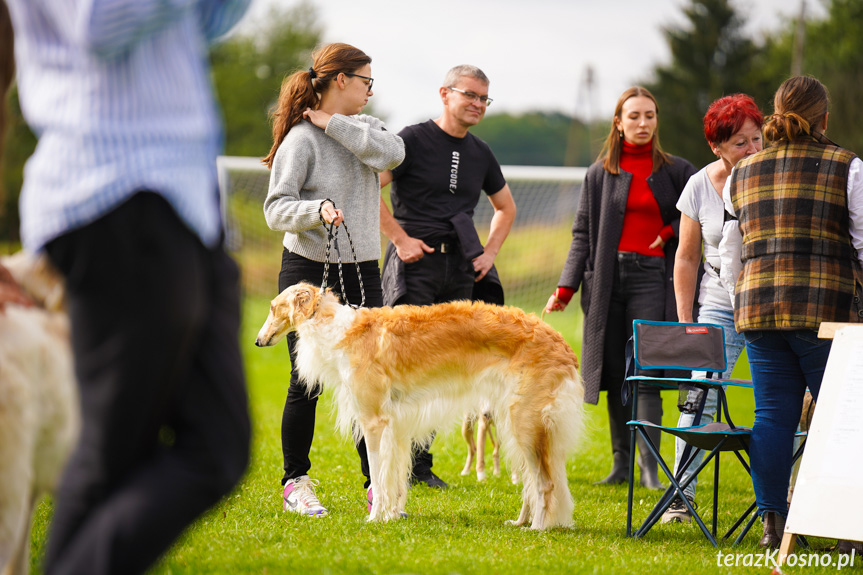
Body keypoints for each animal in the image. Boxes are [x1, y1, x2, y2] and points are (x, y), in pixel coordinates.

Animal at [253, 284, 584, 532]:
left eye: (272, 307)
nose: (257, 341)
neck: (338, 329)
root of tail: (562, 344)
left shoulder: (373, 421)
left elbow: (377, 477)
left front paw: (374, 518)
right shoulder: (396, 426)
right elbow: (393, 478)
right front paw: (390, 515)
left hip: (525, 422)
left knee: (545, 483)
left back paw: (537, 528)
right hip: (514, 423)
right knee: (531, 482)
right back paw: (520, 521)